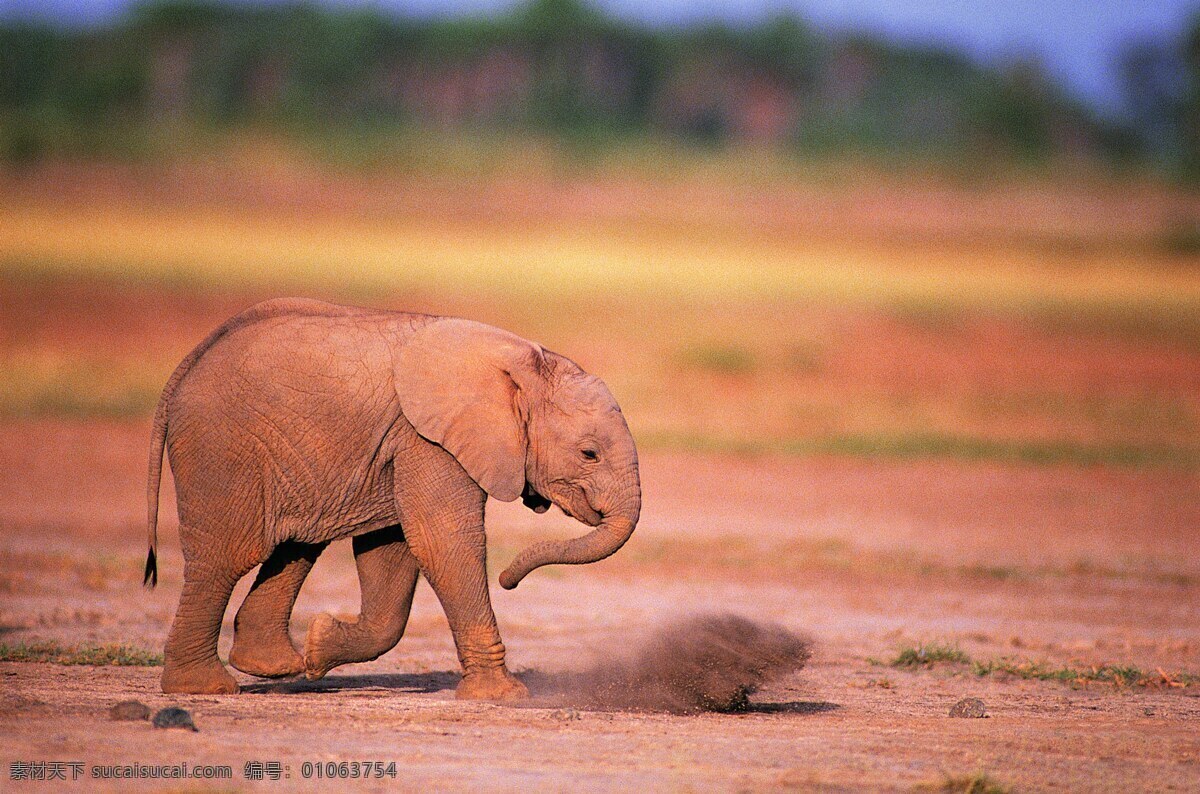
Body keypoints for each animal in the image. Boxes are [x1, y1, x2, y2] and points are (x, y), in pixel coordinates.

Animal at [142, 302, 638, 700]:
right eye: (589, 453)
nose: (507, 581)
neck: (524, 365)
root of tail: (184, 368)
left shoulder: (405, 443)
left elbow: (391, 548)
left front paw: (320, 647)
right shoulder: (428, 438)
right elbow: (443, 541)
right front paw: (505, 696)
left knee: (297, 545)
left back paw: (278, 666)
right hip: (222, 448)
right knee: (225, 557)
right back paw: (204, 688)